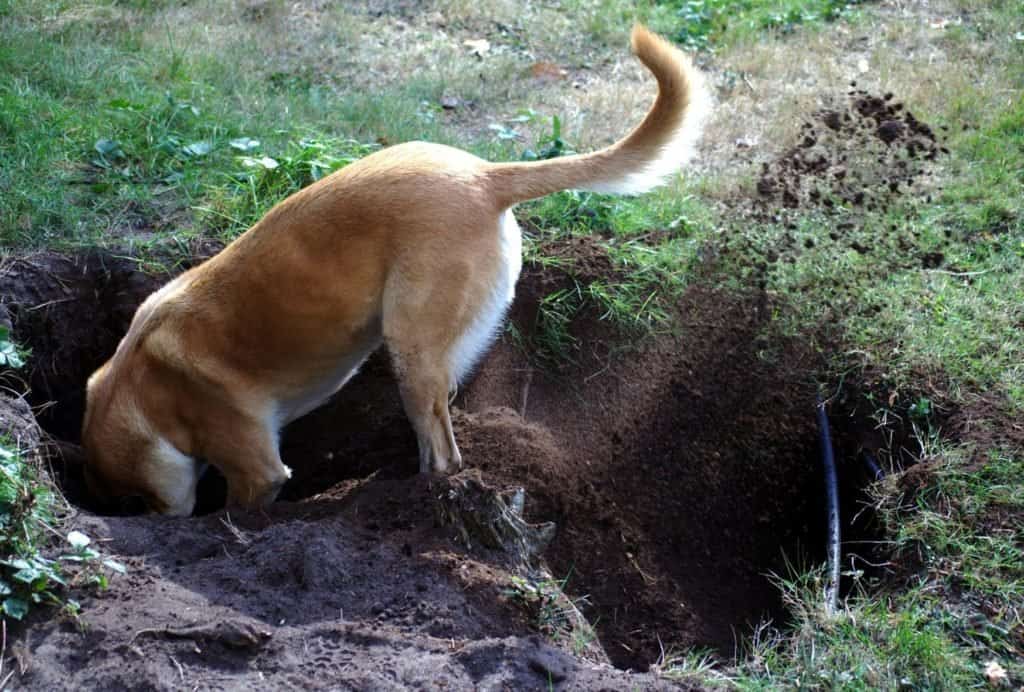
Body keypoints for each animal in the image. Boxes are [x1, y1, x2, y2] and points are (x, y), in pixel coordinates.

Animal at [79, 25, 708, 513]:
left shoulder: (256, 470)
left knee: (443, 455)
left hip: (412, 347)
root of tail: (484, 175)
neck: (143, 383)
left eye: (138, 500)